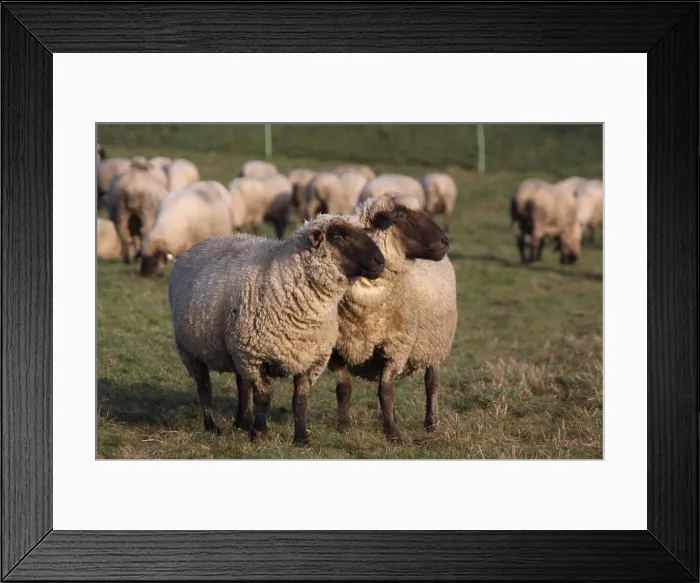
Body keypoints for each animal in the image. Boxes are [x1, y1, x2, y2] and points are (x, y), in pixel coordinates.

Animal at [167, 214, 386, 444]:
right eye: (338, 237)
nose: (380, 261)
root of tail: (203, 242)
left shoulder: (309, 360)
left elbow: (300, 400)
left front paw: (301, 439)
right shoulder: (254, 356)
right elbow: (263, 398)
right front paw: (260, 434)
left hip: (235, 350)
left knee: (242, 384)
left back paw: (243, 422)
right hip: (190, 349)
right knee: (204, 387)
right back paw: (212, 426)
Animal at [328, 192, 456, 441]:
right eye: (400, 216)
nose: (445, 241)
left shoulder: (397, 345)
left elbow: (385, 390)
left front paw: (392, 434)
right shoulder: (338, 348)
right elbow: (344, 389)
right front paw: (343, 427)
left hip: (434, 342)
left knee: (432, 383)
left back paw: (431, 423)